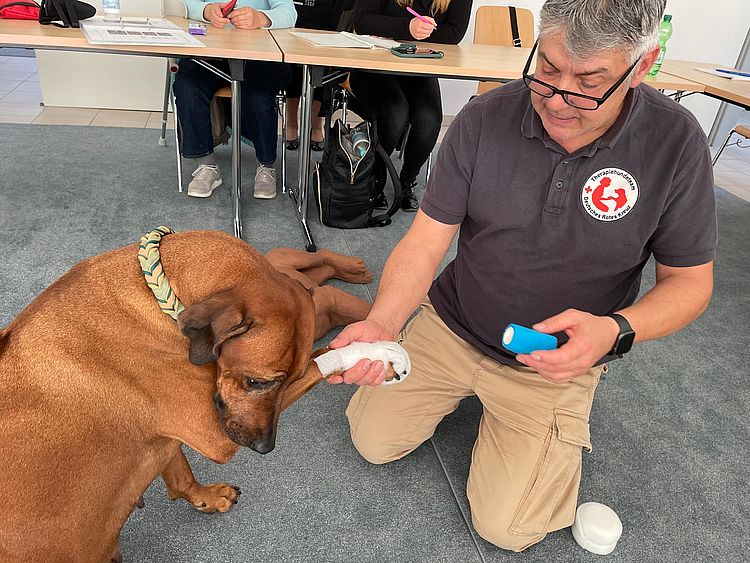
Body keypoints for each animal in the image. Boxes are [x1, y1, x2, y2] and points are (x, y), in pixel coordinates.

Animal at [0, 230, 373, 562]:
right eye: (256, 382)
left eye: (281, 381)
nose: (265, 447)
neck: (158, 295)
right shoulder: (213, 433)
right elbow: (320, 358)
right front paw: (360, 352)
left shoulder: (167, 438)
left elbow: (180, 475)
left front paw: (206, 497)